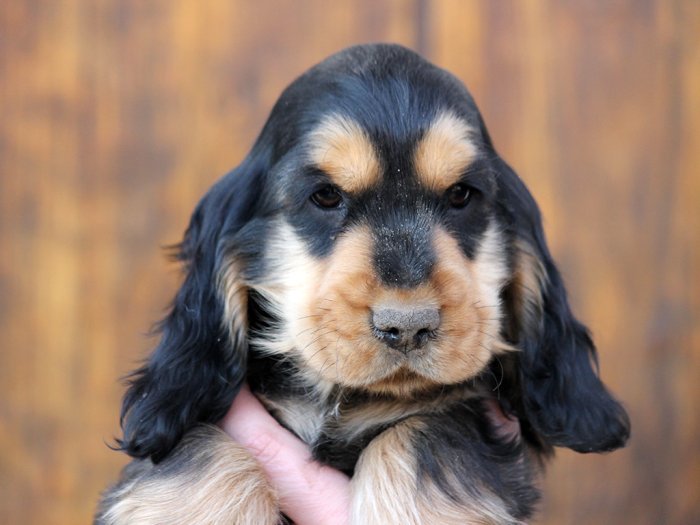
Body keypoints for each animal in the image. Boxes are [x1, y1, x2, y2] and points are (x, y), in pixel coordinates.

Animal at [94, 44, 628, 524]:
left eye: (461, 195)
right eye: (326, 196)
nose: (407, 327)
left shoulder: (465, 416)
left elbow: (422, 434)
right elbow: (202, 445)